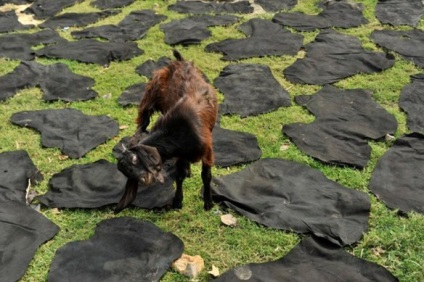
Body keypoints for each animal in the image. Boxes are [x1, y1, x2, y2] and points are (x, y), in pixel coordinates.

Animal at [114, 49, 217, 213]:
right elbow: (179, 175)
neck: (178, 130)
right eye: (126, 172)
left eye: (135, 159)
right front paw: (177, 201)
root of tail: (180, 62)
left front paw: (208, 202)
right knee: (142, 124)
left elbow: (206, 175)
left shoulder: (207, 150)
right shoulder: (180, 153)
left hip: (151, 90)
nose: (144, 179)